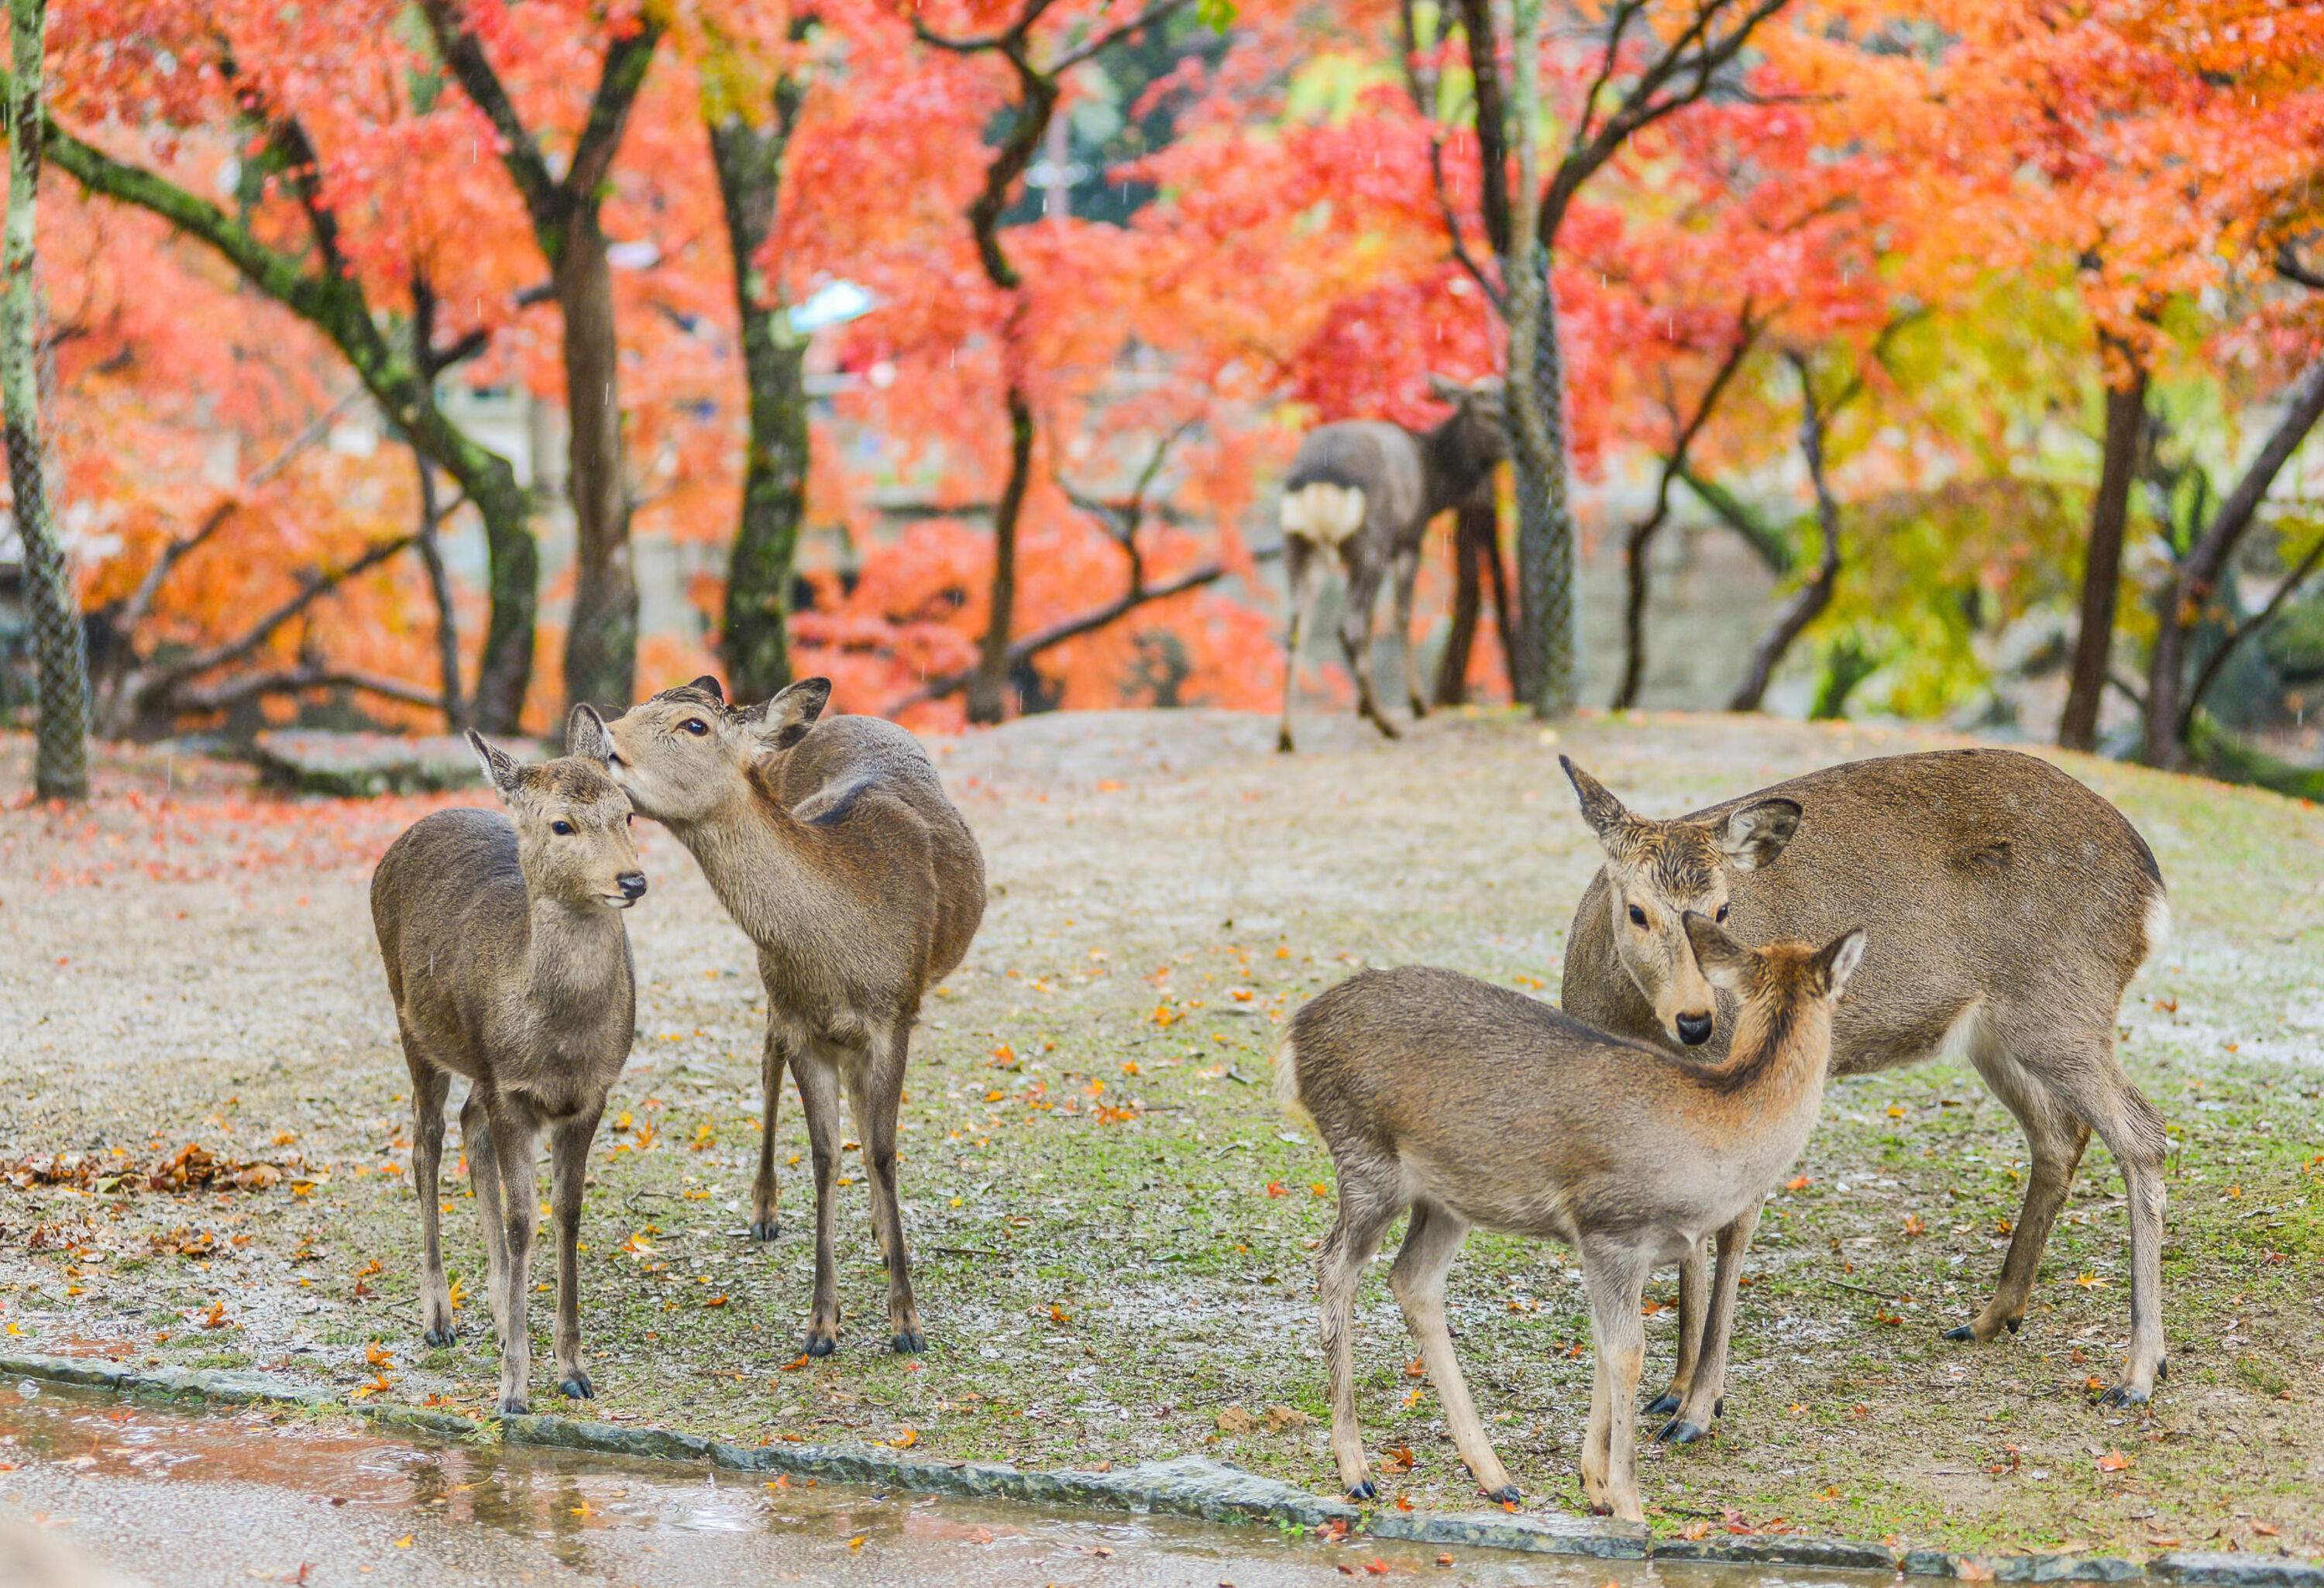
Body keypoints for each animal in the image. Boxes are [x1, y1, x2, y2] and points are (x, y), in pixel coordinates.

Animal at [372, 711, 646, 1413]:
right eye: (562, 825)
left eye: (628, 813)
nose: (632, 880)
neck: (560, 1043)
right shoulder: (511, 1091)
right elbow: (525, 1221)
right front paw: (514, 1388)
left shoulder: (591, 1093)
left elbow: (567, 1214)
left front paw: (572, 1368)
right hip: (413, 1024)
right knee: (425, 1144)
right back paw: (440, 1317)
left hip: (475, 1066)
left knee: (467, 1125)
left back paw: (497, 1313)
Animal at [595, 679, 985, 1357]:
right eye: (638, 705)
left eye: (694, 725)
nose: (602, 737)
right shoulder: (806, 1027)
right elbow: (827, 1154)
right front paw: (822, 1325)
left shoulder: (895, 1015)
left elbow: (881, 1149)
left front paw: (906, 1322)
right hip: (773, 986)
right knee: (768, 1053)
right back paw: (765, 1213)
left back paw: (882, 1234)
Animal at [1274, 381, 1506, 762]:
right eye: (1487, 412)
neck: (1434, 485)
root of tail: (1318, 479)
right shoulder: (1410, 538)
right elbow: (1401, 615)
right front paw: (1416, 705)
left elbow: (1373, 623)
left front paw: (1363, 707)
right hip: (1372, 541)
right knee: (1349, 621)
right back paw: (1388, 724)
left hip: (1299, 545)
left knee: (1298, 627)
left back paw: (1286, 736)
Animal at [1283, 920, 1859, 1524]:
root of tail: (1296, 1032)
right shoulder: (1610, 1229)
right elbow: (1627, 1353)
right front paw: (1630, 1505)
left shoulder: (1628, 1254)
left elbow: (1607, 1346)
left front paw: (1596, 1487)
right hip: (1364, 1159)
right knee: (1333, 1265)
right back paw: (1357, 1471)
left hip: (1446, 1196)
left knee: (1412, 1278)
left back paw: (1495, 1477)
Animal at [1562, 753, 2175, 1432]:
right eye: (1637, 910)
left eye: (1722, 909)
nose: (1700, 1022)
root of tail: (2150, 887)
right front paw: (1673, 1391)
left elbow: (1728, 1231)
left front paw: (1698, 1408)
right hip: (1997, 1030)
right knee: (2061, 1134)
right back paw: (1991, 1318)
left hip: (2062, 1004)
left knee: (2142, 1132)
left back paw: (2138, 1372)